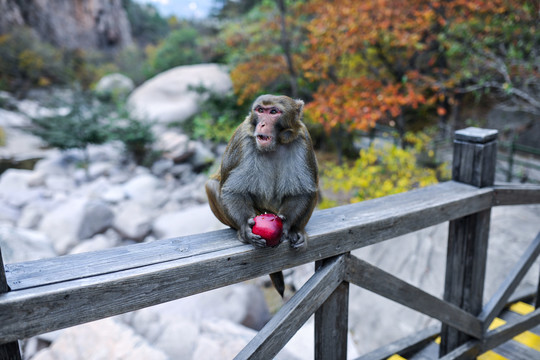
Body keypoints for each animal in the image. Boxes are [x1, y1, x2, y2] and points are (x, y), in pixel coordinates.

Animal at [206, 94, 316, 296]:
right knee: (212, 185)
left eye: (273, 112)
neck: (276, 144)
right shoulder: (243, 139)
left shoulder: (303, 139)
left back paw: (298, 231)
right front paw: (246, 230)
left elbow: (303, 191)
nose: (262, 124)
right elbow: (234, 190)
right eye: (260, 110)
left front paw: (287, 226)